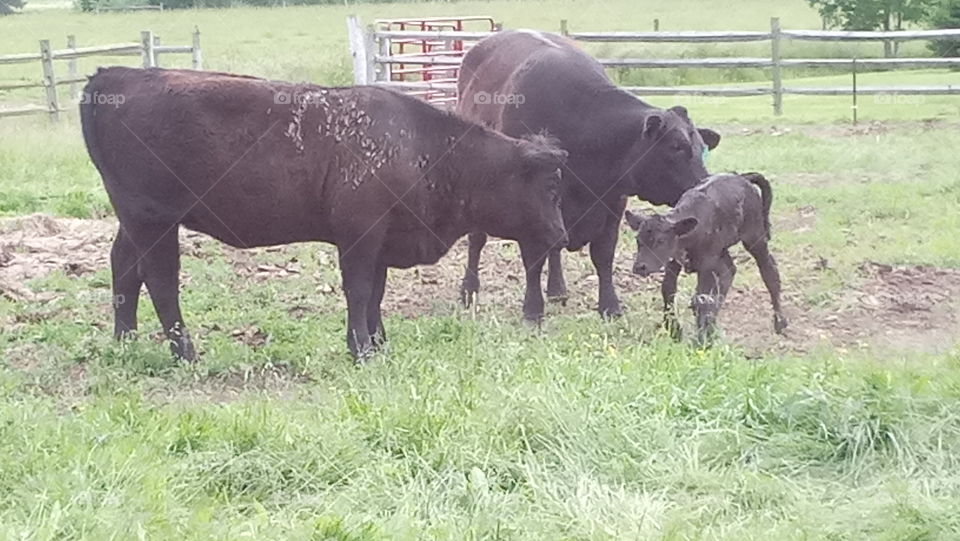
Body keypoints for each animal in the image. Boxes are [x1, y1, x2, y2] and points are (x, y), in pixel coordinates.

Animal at [80, 67, 568, 361]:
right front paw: (361, 350)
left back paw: (125, 342)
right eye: (550, 187)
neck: (419, 146)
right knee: (159, 280)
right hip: (155, 222)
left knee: (124, 268)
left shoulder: (380, 242)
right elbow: (359, 292)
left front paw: (378, 343)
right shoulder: (359, 238)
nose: (561, 236)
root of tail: (115, 76)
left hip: (136, 223)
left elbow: (375, 295)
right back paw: (186, 353)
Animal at [455, 29, 721, 323]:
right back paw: (469, 291)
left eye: (702, 148)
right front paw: (532, 310)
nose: (704, 184)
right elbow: (533, 259)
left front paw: (610, 306)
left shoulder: (613, 204)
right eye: (676, 147)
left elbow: (602, 257)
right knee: (476, 240)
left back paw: (557, 289)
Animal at [625, 172, 788, 343]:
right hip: (721, 250)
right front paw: (674, 328)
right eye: (638, 240)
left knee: (768, 269)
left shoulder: (707, 263)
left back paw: (779, 321)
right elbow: (668, 289)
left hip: (754, 236)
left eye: (660, 241)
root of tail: (742, 177)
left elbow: (702, 297)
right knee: (729, 270)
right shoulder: (674, 259)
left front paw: (701, 339)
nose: (640, 267)